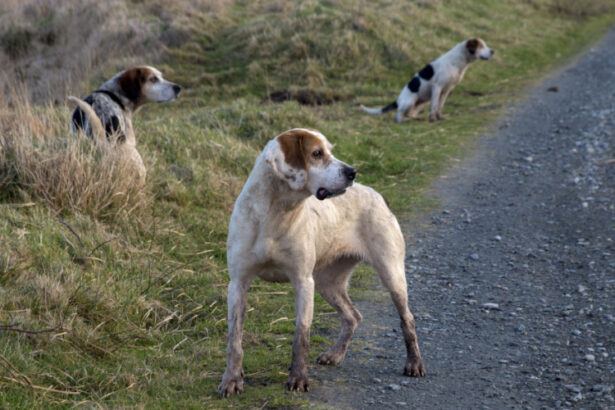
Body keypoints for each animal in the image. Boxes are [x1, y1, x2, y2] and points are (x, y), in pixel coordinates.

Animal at [219, 129, 426, 398]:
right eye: (316, 153)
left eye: (330, 150)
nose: (352, 172)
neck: (275, 213)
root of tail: (376, 194)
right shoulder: (238, 283)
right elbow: (234, 339)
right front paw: (232, 379)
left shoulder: (303, 282)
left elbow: (301, 336)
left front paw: (298, 378)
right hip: (328, 283)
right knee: (353, 316)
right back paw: (335, 354)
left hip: (391, 274)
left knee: (407, 319)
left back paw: (414, 363)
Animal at [360, 38, 496, 123]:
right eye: (480, 46)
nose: (493, 51)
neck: (457, 61)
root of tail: (397, 101)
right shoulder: (437, 87)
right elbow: (435, 106)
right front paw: (433, 119)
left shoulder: (447, 90)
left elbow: (440, 106)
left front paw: (439, 117)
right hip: (411, 101)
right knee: (398, 116)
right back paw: (405, 120)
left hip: (421, 103)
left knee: (410, 114)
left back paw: (416, 118)